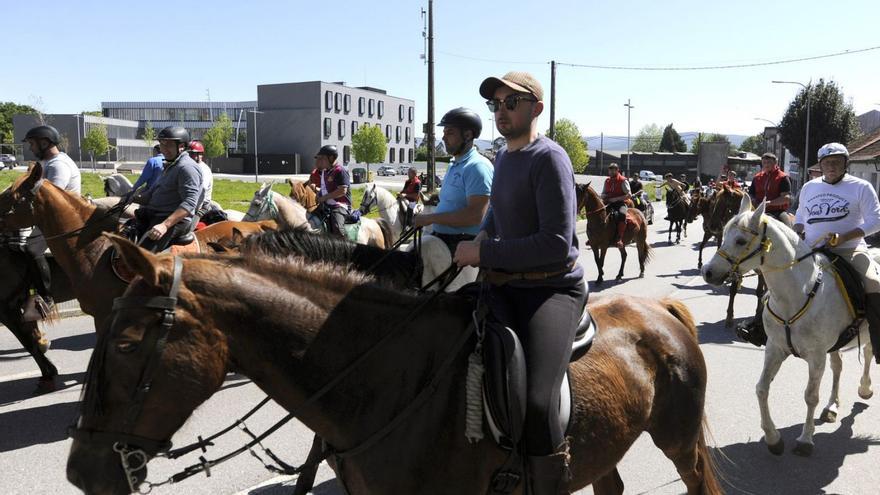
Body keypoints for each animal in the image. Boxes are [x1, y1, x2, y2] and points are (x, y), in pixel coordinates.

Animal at [700, 197, 872, 458]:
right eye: (725, 234)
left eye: (740, 240)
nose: (708, 272)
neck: (798, 293)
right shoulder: (775, 348)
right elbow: (762, 389)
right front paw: (773, 439)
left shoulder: (816, 356)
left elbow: (810, 396)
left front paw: (805, 440)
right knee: (838, 366)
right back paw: (832, 406)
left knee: (869, 354)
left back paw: (865, 388)